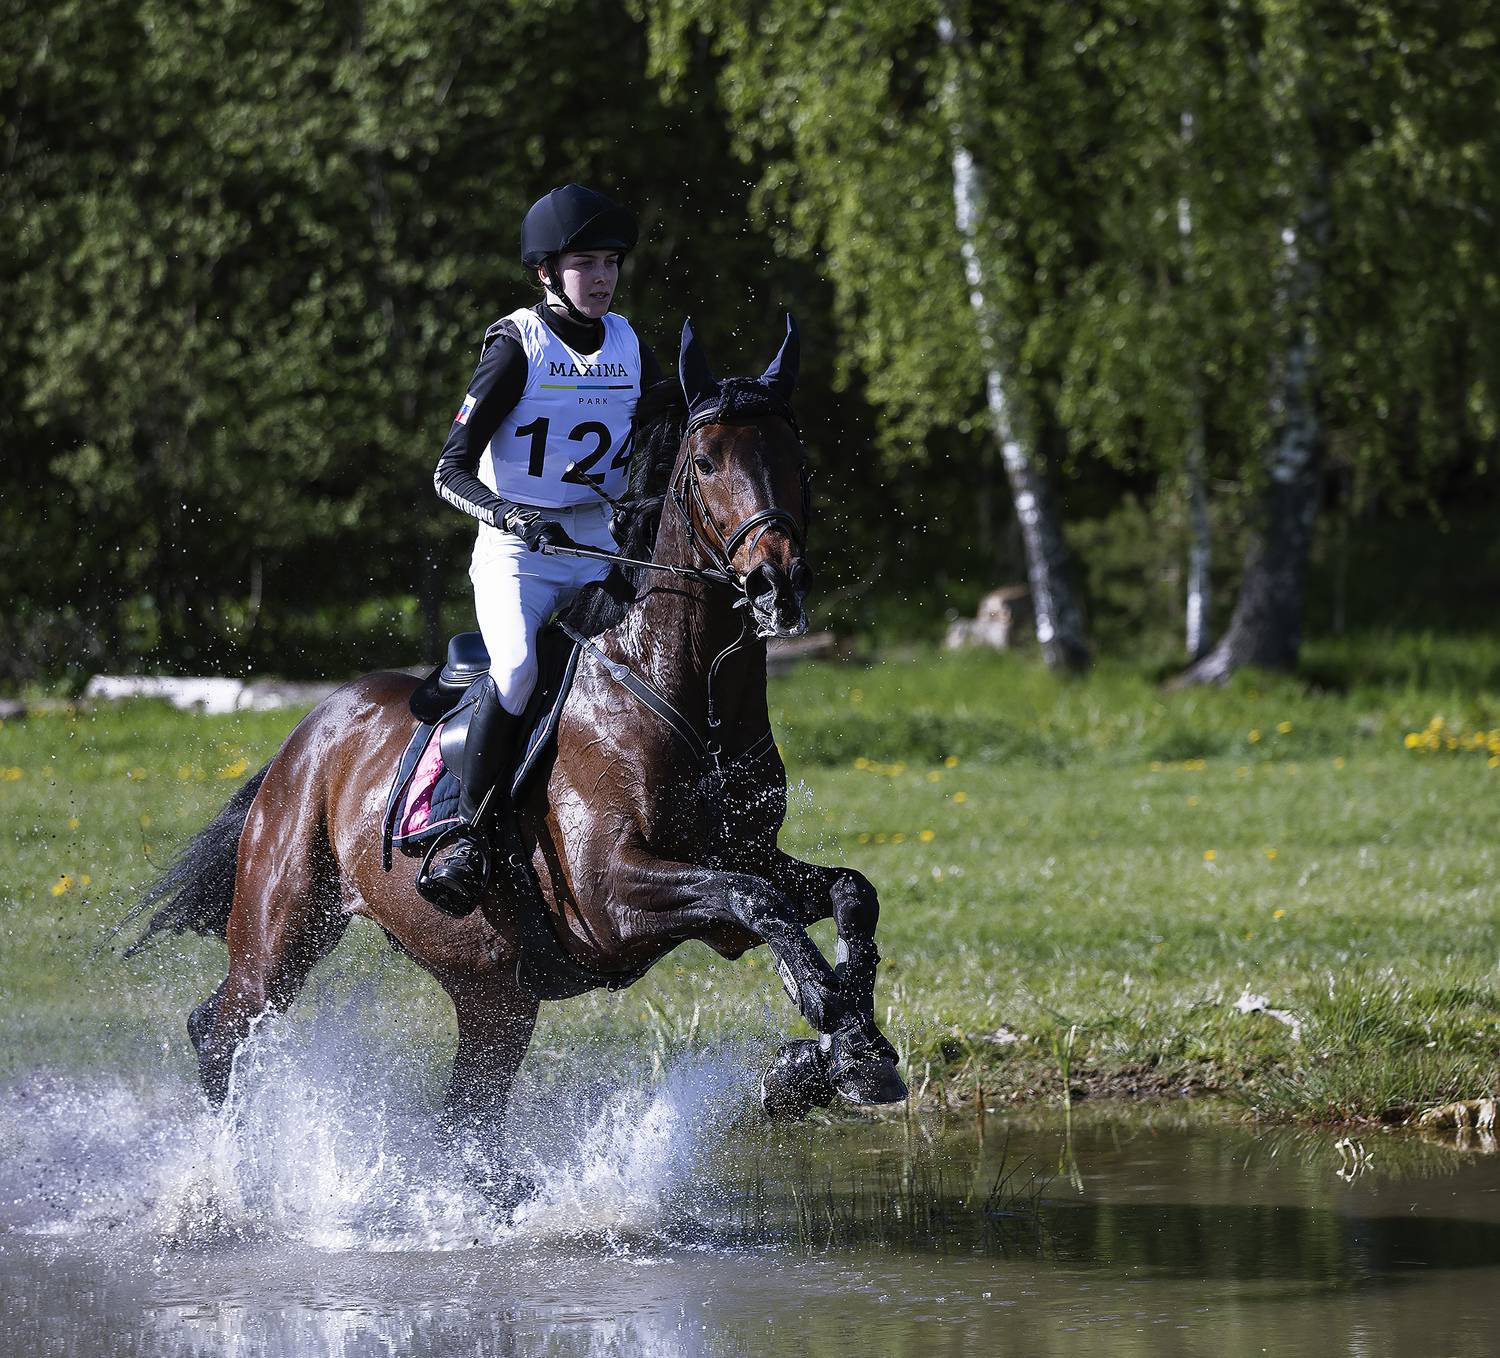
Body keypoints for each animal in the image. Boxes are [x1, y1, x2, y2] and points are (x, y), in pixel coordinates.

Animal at [130, 317, 906, 1167]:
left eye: (795, 461)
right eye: (705, 463)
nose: (775, 586)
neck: (687, 696)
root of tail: (308, 735)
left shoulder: (741, 856)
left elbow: (845, 892)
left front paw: (849, 1051)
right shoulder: (610, 895)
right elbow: (755, 898)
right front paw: (821, 1015)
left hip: (494, 993)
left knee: (464, 1114)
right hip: (285, 929)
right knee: (223, 1028)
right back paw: (227, 1174)